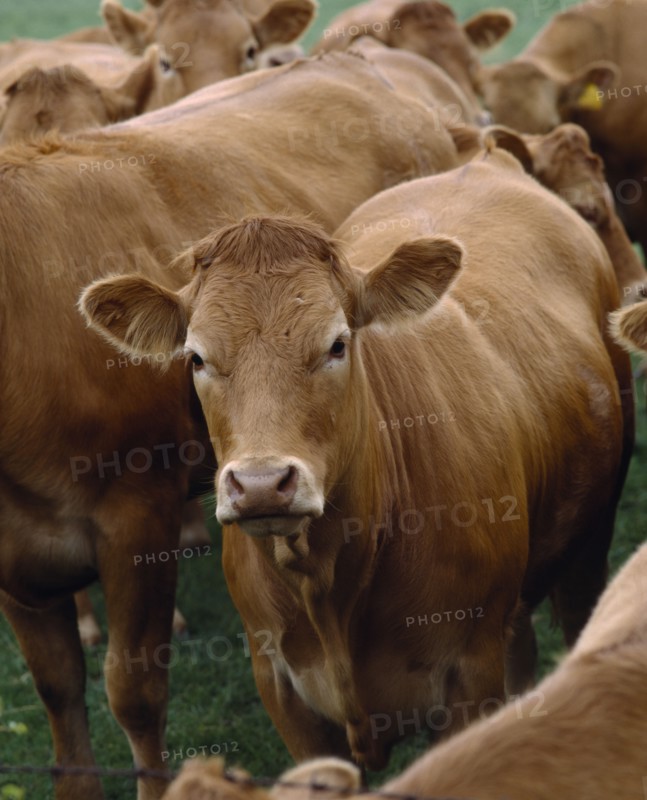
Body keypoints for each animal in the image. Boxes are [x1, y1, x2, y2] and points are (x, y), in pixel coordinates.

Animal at [80, 147, 633, 771]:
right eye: (196, 358)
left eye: (337, 344)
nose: (262, 483)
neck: (328, 583)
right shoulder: (278, 683)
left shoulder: (470, 670)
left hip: (587, 546)